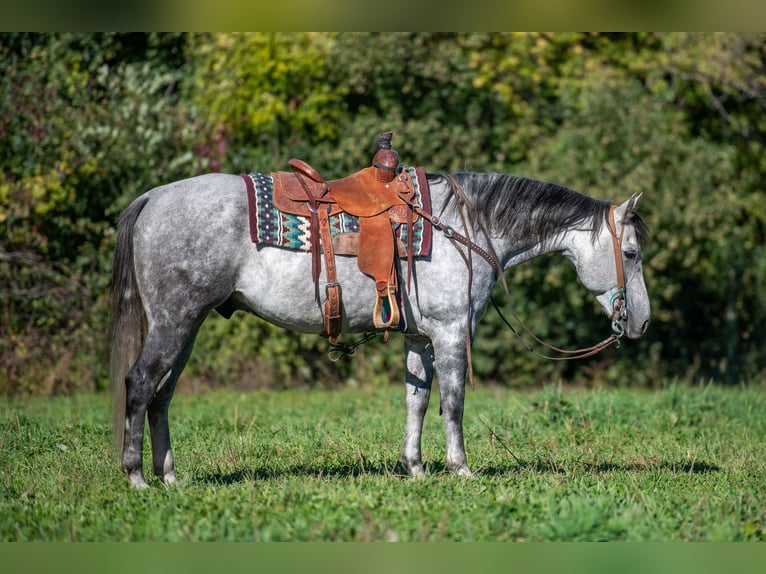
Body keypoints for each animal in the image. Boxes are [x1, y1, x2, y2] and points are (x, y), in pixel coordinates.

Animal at [109, 169, 650, 488]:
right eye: (630, 253)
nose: (642, 322)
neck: (464, 227)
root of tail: (153, 197)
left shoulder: (420, 337)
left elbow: (418, 400)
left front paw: (415, 468)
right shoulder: (452, 333)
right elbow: (454, 402)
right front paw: (461, 469)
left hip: (187, 328)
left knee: (162, 395)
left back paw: (170, 477)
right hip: (175, 323)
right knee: (140, 384)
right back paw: (136, 477)